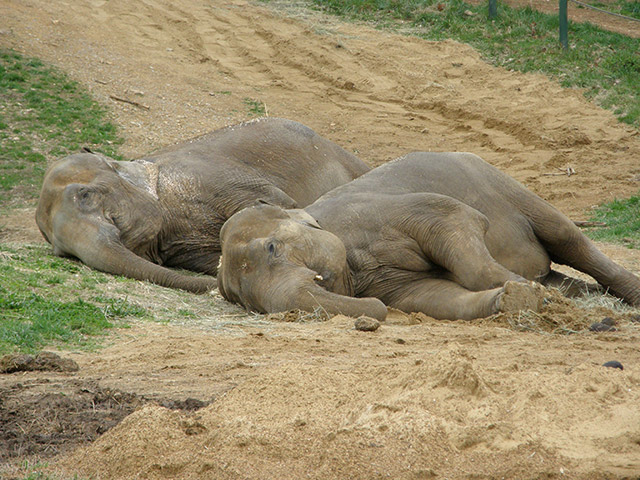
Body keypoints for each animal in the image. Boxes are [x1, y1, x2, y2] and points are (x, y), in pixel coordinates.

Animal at [219, 152, 640, 320]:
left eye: (272, 247)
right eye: (248, 305)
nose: (375, 311)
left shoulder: (382, 212)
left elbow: (458, 219)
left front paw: (524, 294)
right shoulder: (389, 283)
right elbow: (436, 297)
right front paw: (514, 299)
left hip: (503, 184)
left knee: (568, 239)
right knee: (563, 274)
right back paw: (575, 297)